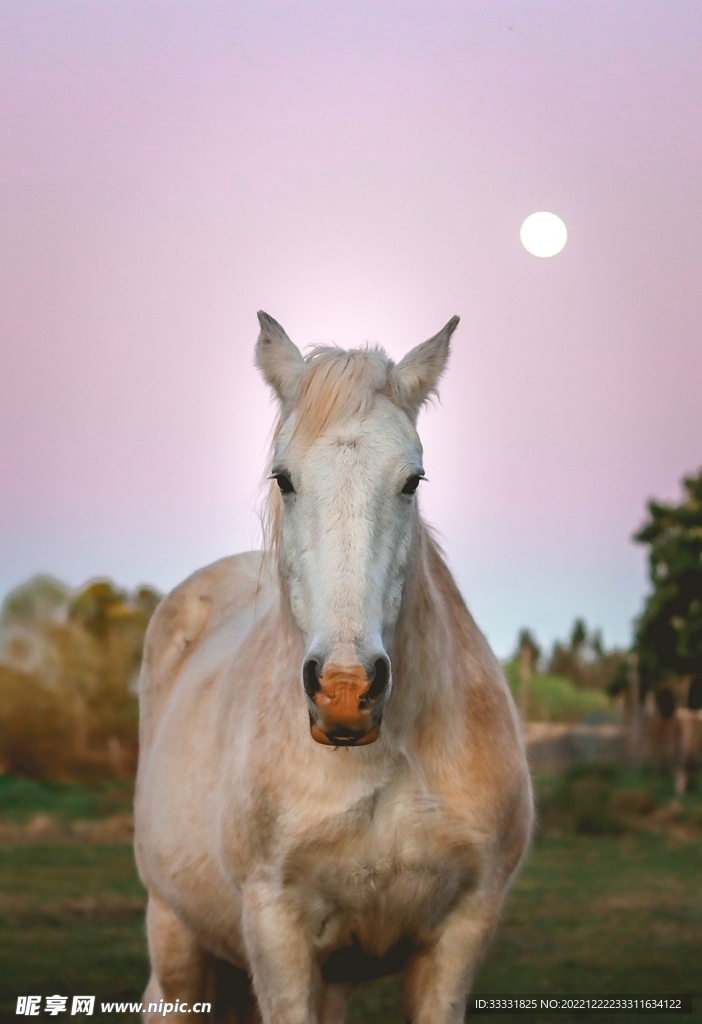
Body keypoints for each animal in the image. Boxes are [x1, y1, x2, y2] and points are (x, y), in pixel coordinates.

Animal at [134, 312, 533, 1024]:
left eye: (413, 480)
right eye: (284, 478)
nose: (345, 692)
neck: (385, 759)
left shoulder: (461, 933)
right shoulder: (276, 934)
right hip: (175, 935)